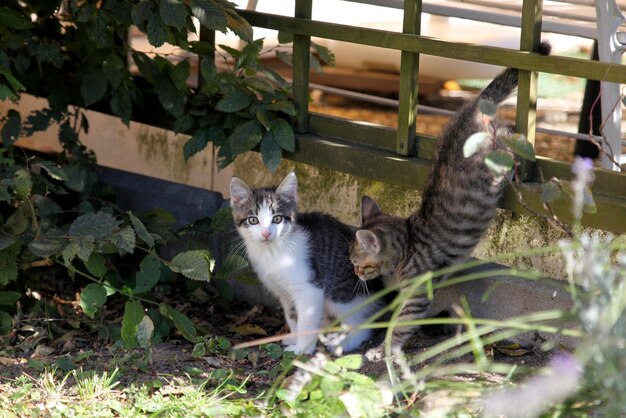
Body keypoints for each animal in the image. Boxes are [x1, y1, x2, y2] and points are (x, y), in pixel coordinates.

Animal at [228, 171, 380, 354]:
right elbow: (292, 316)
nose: (266, 233)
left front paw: (302, 349)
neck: (274, 250)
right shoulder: (283, 292)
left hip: (341, 296)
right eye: (253, 220)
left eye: (277, 219)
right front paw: (295, 337)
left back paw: (343, 343)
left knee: (363, 324)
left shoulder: (310, 289)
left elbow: (306, 321)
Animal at [348, 43, 548, 362]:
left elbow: (401, 324)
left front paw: (385, 349)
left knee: (512, 139)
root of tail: (474, 107)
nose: (356, 274)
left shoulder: (418, 293)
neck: (407, 245)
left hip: (499, 151)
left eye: (358, 264)